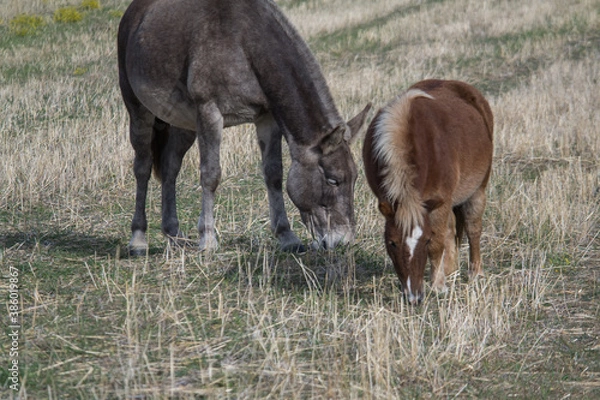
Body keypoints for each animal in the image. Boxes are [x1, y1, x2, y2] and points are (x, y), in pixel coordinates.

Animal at [116, 0, 370, 255]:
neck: (242, 45)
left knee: (170, 168)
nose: (342, 241)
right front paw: (208, 239)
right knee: (143, 167)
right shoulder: (210, 112)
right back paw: (138, 239)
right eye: (333, 180)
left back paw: (175, 236)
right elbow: (211, 174)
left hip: (183, 124)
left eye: (355, 178)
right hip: (138, 110)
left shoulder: (267, 119)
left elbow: (274, 174)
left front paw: (287, 236)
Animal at [360, 79, 492, 304]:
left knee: (473, 229)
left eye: (425, 240)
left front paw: (438, 286)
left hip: (477, 190)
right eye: (392, 243)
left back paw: (475, 273)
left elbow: (438, 243)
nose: (414, 297)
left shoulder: (440, 202)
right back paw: (451, 270)